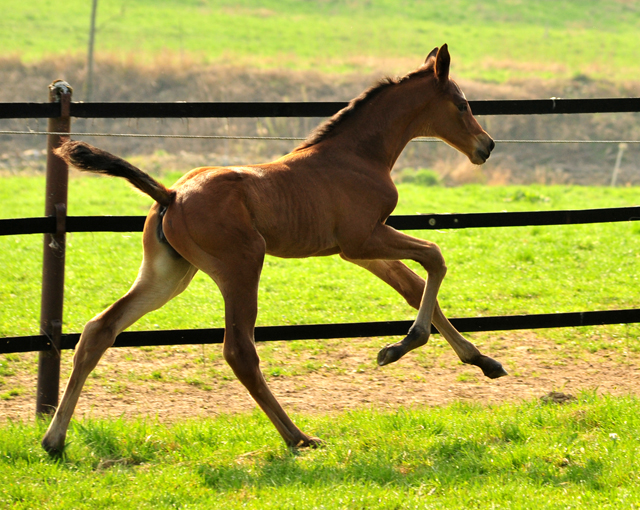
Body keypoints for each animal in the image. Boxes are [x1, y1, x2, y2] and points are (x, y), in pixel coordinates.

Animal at [43, 44, 504, 454]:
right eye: (462, 104)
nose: (487, 146)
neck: (357, 156)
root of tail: (171, 194)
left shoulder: (358, 249)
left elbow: (413, 286)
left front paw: (481, 361)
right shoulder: (364, 237)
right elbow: (434, 257)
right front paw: (400, 346)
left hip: (167, 275)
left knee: (100, 329)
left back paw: (54, 439)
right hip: (241, 266)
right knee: (239, 351)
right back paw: (297, 436)